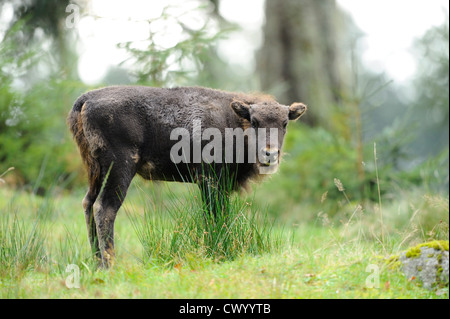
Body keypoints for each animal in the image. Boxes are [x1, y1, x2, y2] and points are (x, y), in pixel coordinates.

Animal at [67, 85, 306, 268]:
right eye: (255, 122)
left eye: (284, 123)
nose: (270, 153)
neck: (234, 121)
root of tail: (85, 99)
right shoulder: (211, 180)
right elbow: (215, 215)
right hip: (120, 169)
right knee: (104, 208)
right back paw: (110, 265)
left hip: (95, 172)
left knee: (88, 204)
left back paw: (97, 263)